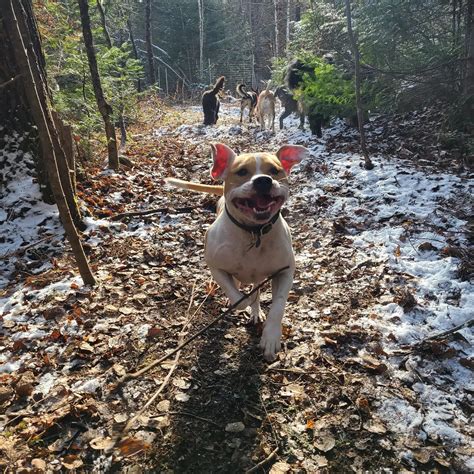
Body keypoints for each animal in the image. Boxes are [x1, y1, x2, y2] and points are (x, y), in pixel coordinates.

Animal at [166, 143, 308, 360]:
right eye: (241, 172)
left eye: (274, 170)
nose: (263, 180)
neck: (253, 232)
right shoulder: (215, 266)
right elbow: (235, 294)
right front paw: (241, 300)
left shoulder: (284, 272)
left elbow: (278, 305)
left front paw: (270, 337)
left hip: (261, 276)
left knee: (256, 289)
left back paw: (256, 311)